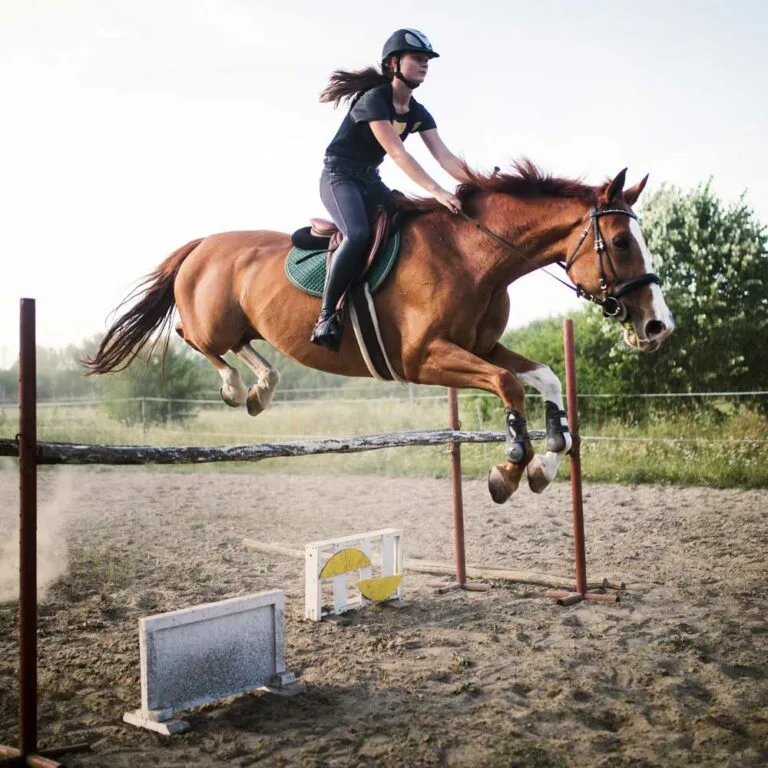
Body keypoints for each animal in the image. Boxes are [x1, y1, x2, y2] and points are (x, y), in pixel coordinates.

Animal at [85, 160, 674, 503]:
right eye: (621, 242)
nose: (658, 325)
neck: (475, 256)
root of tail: (201, 244)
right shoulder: (424, 358)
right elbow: (508, 386)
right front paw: (508, 471)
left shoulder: (480, 346)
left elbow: (547, 378)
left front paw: (546, 464)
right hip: (210, 321)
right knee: (195, 336)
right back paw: (239, 389)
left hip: (242, 323)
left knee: (240, 346)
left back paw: (261, 388)